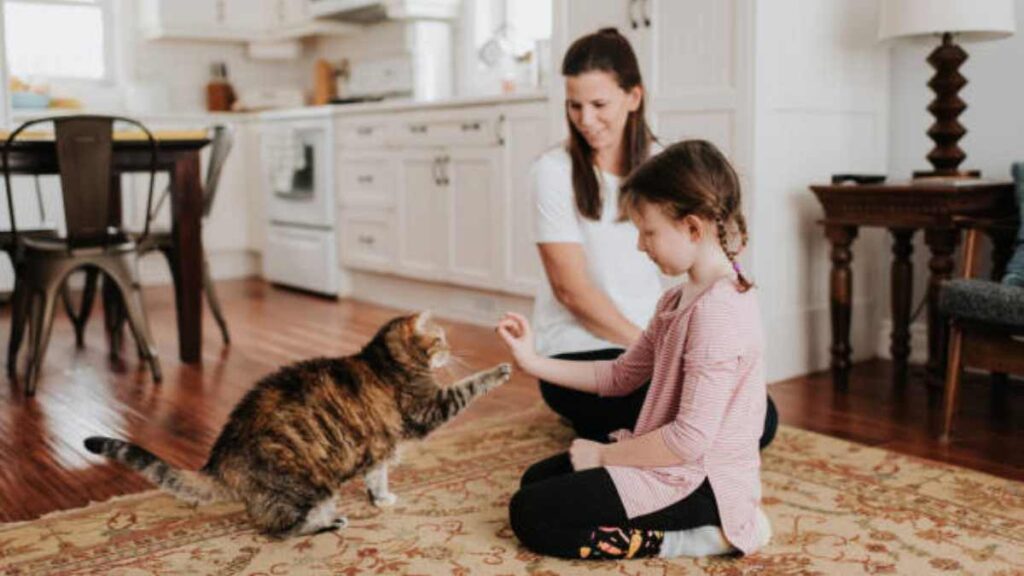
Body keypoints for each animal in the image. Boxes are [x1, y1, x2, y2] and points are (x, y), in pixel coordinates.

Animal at [84, 311, 512, 537]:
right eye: (440, 338)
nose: (451, 350)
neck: (386, 359)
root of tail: (220, 460)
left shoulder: (377, 449)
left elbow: (377, 476)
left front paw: (381, 498)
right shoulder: (430, 407)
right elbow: (469, 386)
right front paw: (500, 369)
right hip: (307, 486)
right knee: (280, 529)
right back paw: (330, 523)